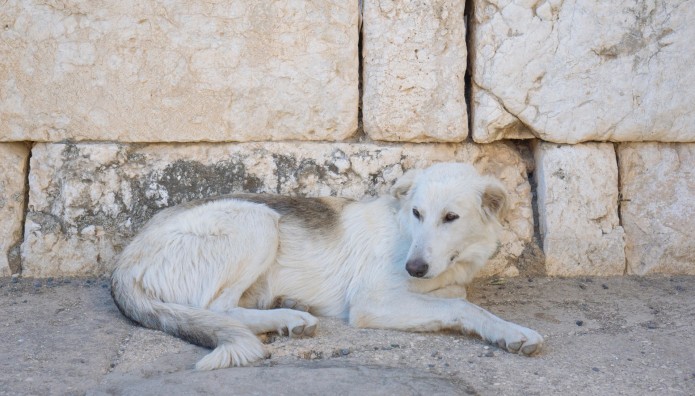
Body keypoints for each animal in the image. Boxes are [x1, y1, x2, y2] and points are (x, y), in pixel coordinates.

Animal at [111, 162, 544, 370]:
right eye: (418, 213)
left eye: (451, 217)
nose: (414, 268)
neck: (404, 231)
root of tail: (126, 258)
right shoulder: (371, 303)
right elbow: (461, 305)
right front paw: (512, 332)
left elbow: (455, 294)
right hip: (258, 220)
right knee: (216, 309)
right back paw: (290, 317)